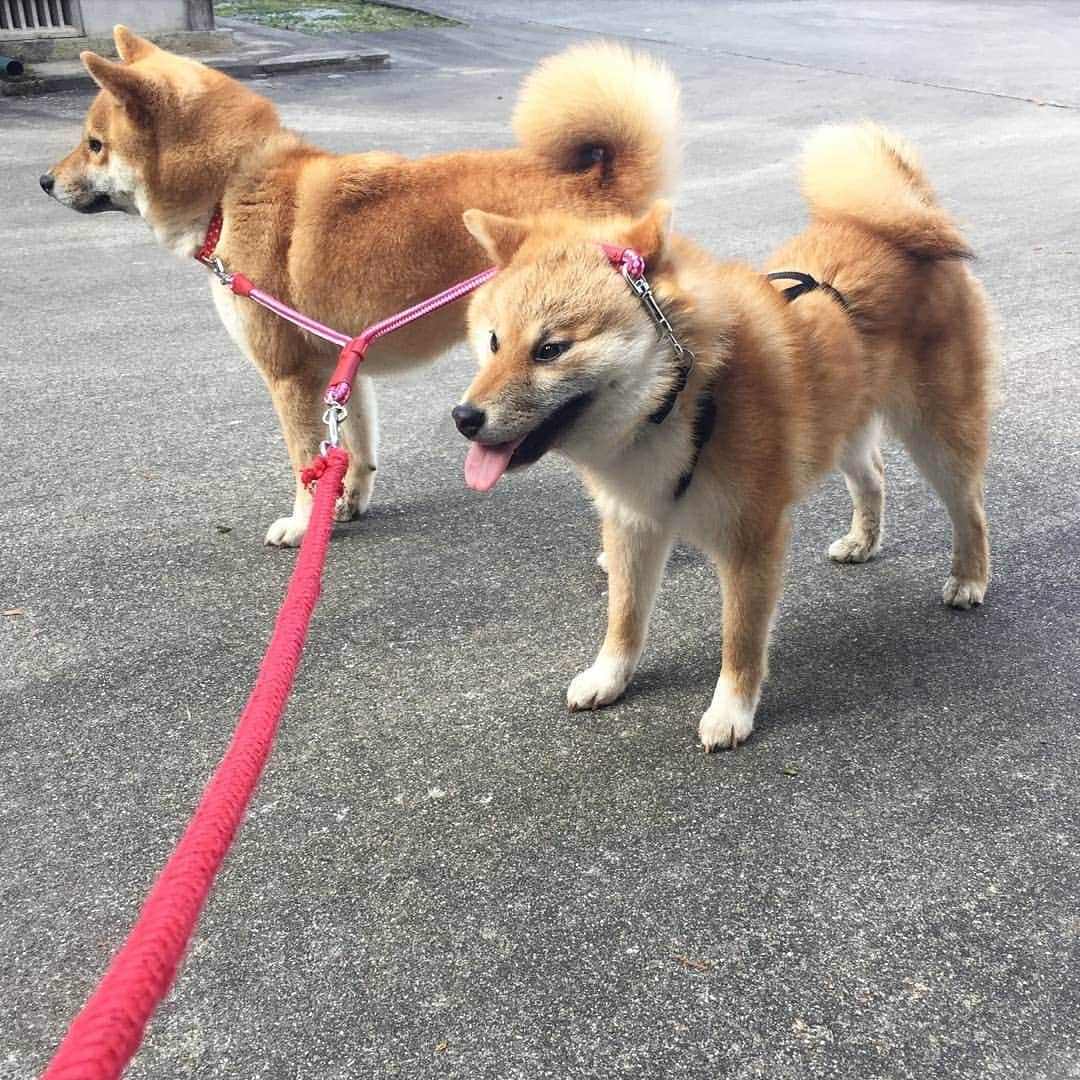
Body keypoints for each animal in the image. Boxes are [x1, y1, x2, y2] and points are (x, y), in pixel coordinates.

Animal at [44, 29, 682, 544]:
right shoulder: (342, 362)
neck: (232, 188)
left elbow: (307, 461)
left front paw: (304, 525)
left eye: (95, 144)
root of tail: (597, 180)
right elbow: (352, 451)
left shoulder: (289, 375)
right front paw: (344, 506)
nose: (45, 181)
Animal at [451, 124, 989, 751]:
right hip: (843, 425)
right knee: (872, 476)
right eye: (493, 341)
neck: (681, 400)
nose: (464, 417)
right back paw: (863, 541)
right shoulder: (632, 526)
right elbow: (624, 618)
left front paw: (731, 709)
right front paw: (610, 676)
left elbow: (741, 638)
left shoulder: (751, 538)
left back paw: (969, 577)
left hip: (938, 435)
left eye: (550, 349)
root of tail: (901, 229)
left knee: (969, 507)